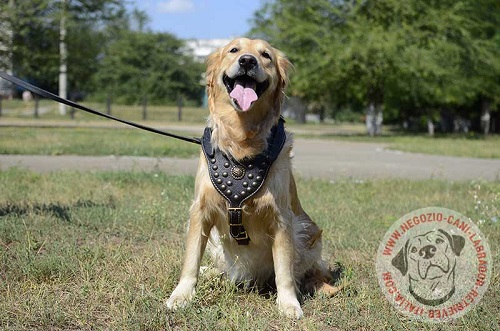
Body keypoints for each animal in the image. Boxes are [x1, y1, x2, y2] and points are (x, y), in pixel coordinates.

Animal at [167, 38, 340, 320]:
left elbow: (284, 271)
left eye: (266, 55)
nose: (248, 61)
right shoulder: (200, 210)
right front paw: (181, 295)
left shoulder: (282, 218)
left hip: (308, 233)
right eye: (233, 50)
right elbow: (191, 260)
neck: (241, 139)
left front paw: (289, 303)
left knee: (307, 271)